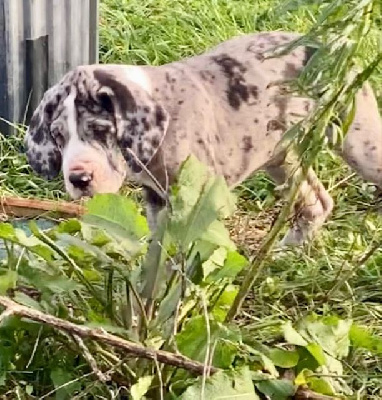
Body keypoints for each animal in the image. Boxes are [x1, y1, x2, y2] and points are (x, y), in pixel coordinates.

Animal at [24, 31, 382, 245]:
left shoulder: (201, 201)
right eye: (58, 136)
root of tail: (335, 41)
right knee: (316, 202)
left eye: (101, 130)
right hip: (280, 156)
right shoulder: (157, 202)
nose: (79, 179)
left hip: (361, 144)